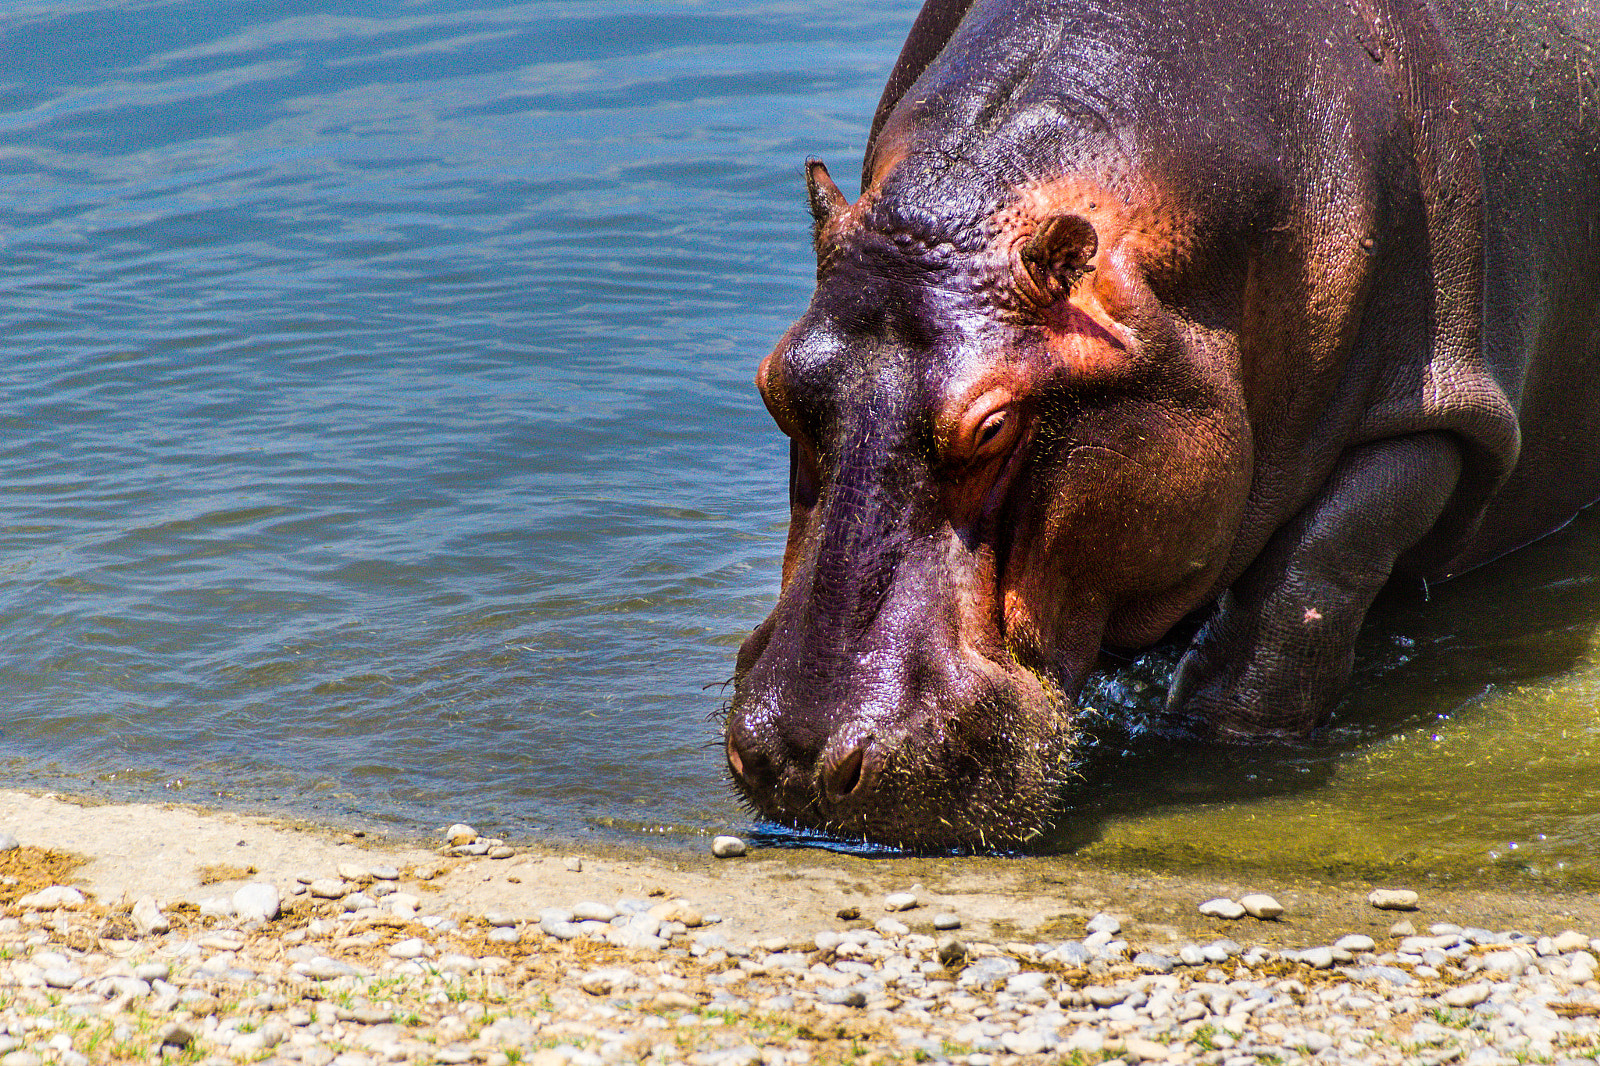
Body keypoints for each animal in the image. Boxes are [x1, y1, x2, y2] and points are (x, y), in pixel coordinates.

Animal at [725, 0, 1600, 850]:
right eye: (771, 383)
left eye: (995, 427)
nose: (798, 760)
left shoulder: (1433, 412)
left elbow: (1314, 569)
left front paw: (1217, 739)